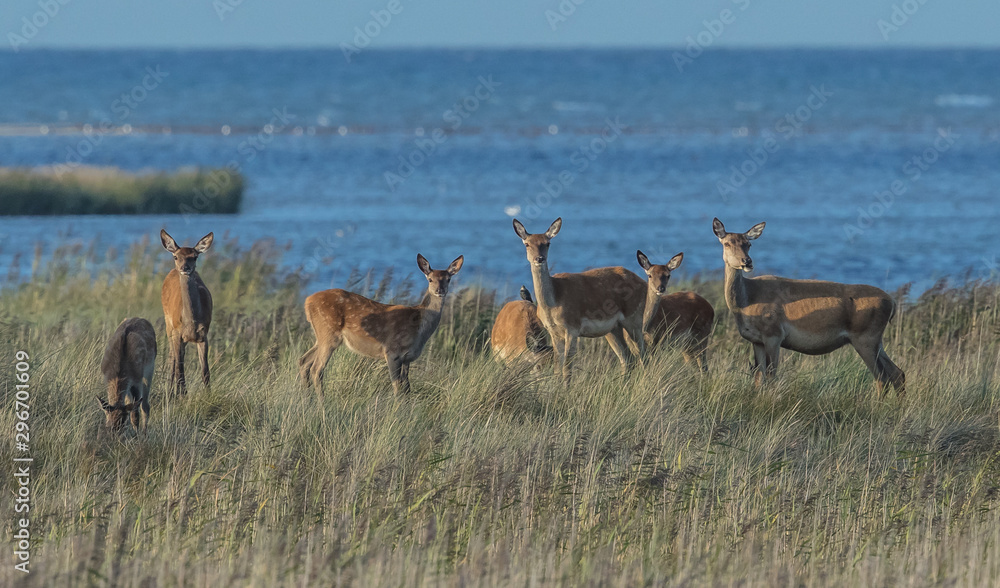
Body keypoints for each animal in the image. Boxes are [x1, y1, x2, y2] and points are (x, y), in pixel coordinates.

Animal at [158, 230, 213, 396]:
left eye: (194, 256)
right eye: (176, 257)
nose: (185, 267)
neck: (191, 322)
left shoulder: (203, 335)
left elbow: (205, 371)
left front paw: (208, 394)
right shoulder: (177, 333)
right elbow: (179, 369)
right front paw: (182, 395)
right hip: (169, 325)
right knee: (172, 358)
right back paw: (171, 390)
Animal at [298, 253, 466, 396]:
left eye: (448, 279)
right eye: (430, 279)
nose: (440, 290)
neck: (418, 327)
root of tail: (307, 302)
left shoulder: (408, 358)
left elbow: (407, 388)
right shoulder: (392, 351)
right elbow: (397, 387)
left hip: (321, 336)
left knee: (304, 361)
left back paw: (307, 401)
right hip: (329, 333)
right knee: (316, 369)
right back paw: (322, 405)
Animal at [512, 218, 644, 384]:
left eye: (547, 243)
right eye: (527, 244)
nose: (539, 258)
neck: (554, 301)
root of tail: (644, 283)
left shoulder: (572, 328)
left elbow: (567, 369)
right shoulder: (553, 332)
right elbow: (557, 368)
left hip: (634, 319)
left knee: (643, 354)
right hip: (613, 329)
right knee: (627, 358)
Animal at [712, 217, 908, 396]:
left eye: (749, 244)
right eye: (727, 243)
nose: (747, 261)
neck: (746, 303)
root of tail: (892, 302)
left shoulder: (774, 334)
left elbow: (771, 376)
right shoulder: (756, 340)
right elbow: (759, 379)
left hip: (865, 337)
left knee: (881, 378)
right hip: (876, 340)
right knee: (897, 373)